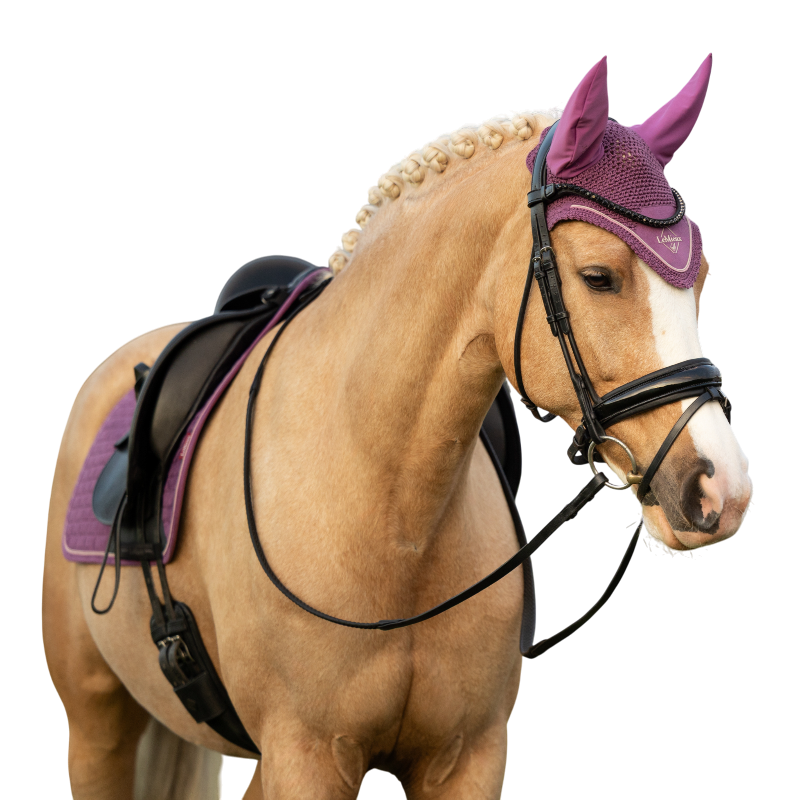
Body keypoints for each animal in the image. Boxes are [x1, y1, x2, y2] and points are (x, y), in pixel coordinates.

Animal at [43, 54, 753, 799]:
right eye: (598, 276)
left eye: (701, 279)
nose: (721, 490)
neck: (391, 506)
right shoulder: (304, 757)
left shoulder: (468, 758)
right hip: (97, 729)